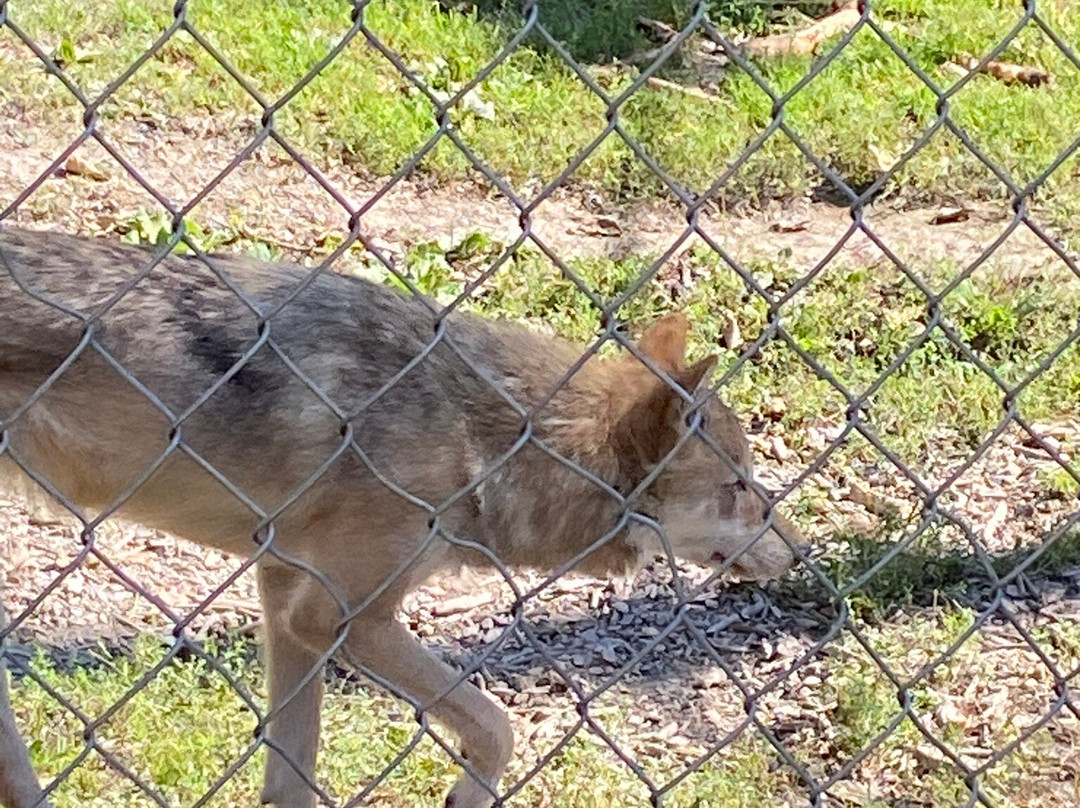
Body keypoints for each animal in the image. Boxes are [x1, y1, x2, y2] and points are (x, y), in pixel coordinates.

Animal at [0, 226, 797, 808]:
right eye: (738, 486)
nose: (799, 552)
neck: (486, 437)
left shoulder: (283, 598)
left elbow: (292, 775)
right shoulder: (338, 617)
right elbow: (499, 726)